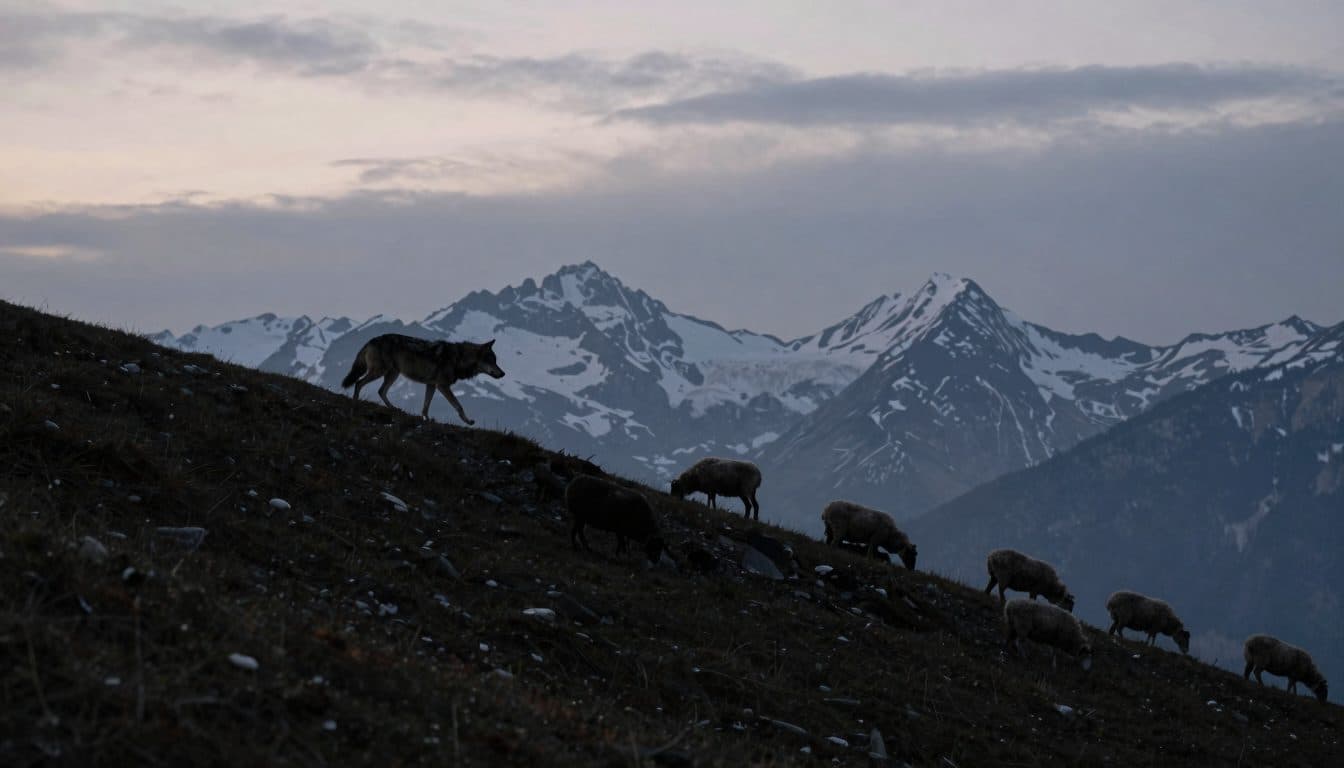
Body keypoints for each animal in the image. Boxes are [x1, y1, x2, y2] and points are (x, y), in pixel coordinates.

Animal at [340, 333, 504, 425]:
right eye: (492, 361)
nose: (503, 374)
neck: (459, 358)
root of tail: (371, 340)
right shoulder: (442, 386)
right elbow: (459, 406)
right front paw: (468, 421)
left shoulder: (431, 385)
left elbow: (425, 407)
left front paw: (426, 419)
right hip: (380, 372)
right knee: (359, 383)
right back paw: (354, 405)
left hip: (392, 374)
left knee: (381, 391)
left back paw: (393, 408)